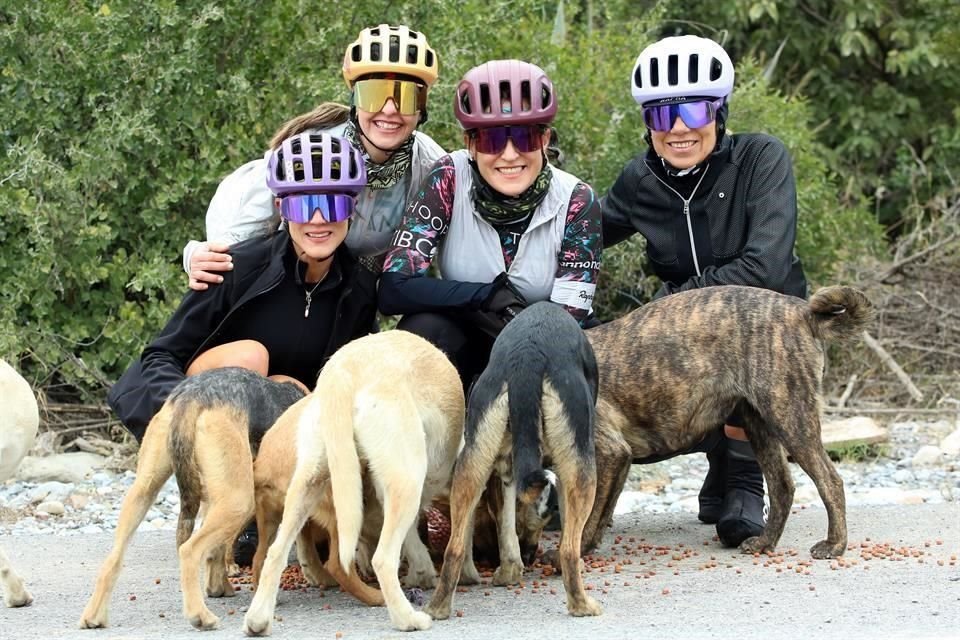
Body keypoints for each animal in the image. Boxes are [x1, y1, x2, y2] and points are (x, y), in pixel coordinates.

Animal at [79, 364, 304, 632]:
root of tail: (193, 396)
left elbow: (219, 552)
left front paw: (220, 587)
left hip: (144, 491)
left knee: (113, 560)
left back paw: (94, 616)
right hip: (238, 500)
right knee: (189, 551)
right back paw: (200, 615)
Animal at [246, 330, 466, 636]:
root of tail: (341, 370)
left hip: (309, 483)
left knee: (275, 552)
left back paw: (257, 621)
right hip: (406, 477)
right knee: (383, 558)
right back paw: (407, 619)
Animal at [426, 302, 600, 624]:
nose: (530, 556)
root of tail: (528, 354)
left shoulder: (504, 473)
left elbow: (506, 528)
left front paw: (509, 571)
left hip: (472, 463)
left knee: (455, 548)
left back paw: (437, 608)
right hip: (581, 469)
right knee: (570, 550)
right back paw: (582, 605)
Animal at [572, 284, 872, 560]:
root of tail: (802, 311)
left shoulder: (610, 453)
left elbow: (587, 517)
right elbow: (599, 513)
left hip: (791, 419)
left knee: (830, 481)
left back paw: (834, 544)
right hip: (759, 425)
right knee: (782, 487)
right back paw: (765, 542)